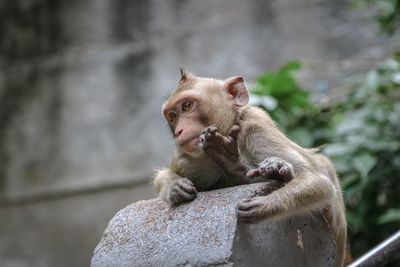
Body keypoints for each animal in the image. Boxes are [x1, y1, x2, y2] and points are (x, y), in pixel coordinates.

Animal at [153, 69, 346, 267]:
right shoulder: (187, 160)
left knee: (324, 164)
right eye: (173, 116)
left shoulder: (257, 131)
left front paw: (264, 204)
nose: (179, 131)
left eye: (187, 106)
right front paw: (173, 185)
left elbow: (318, 181)